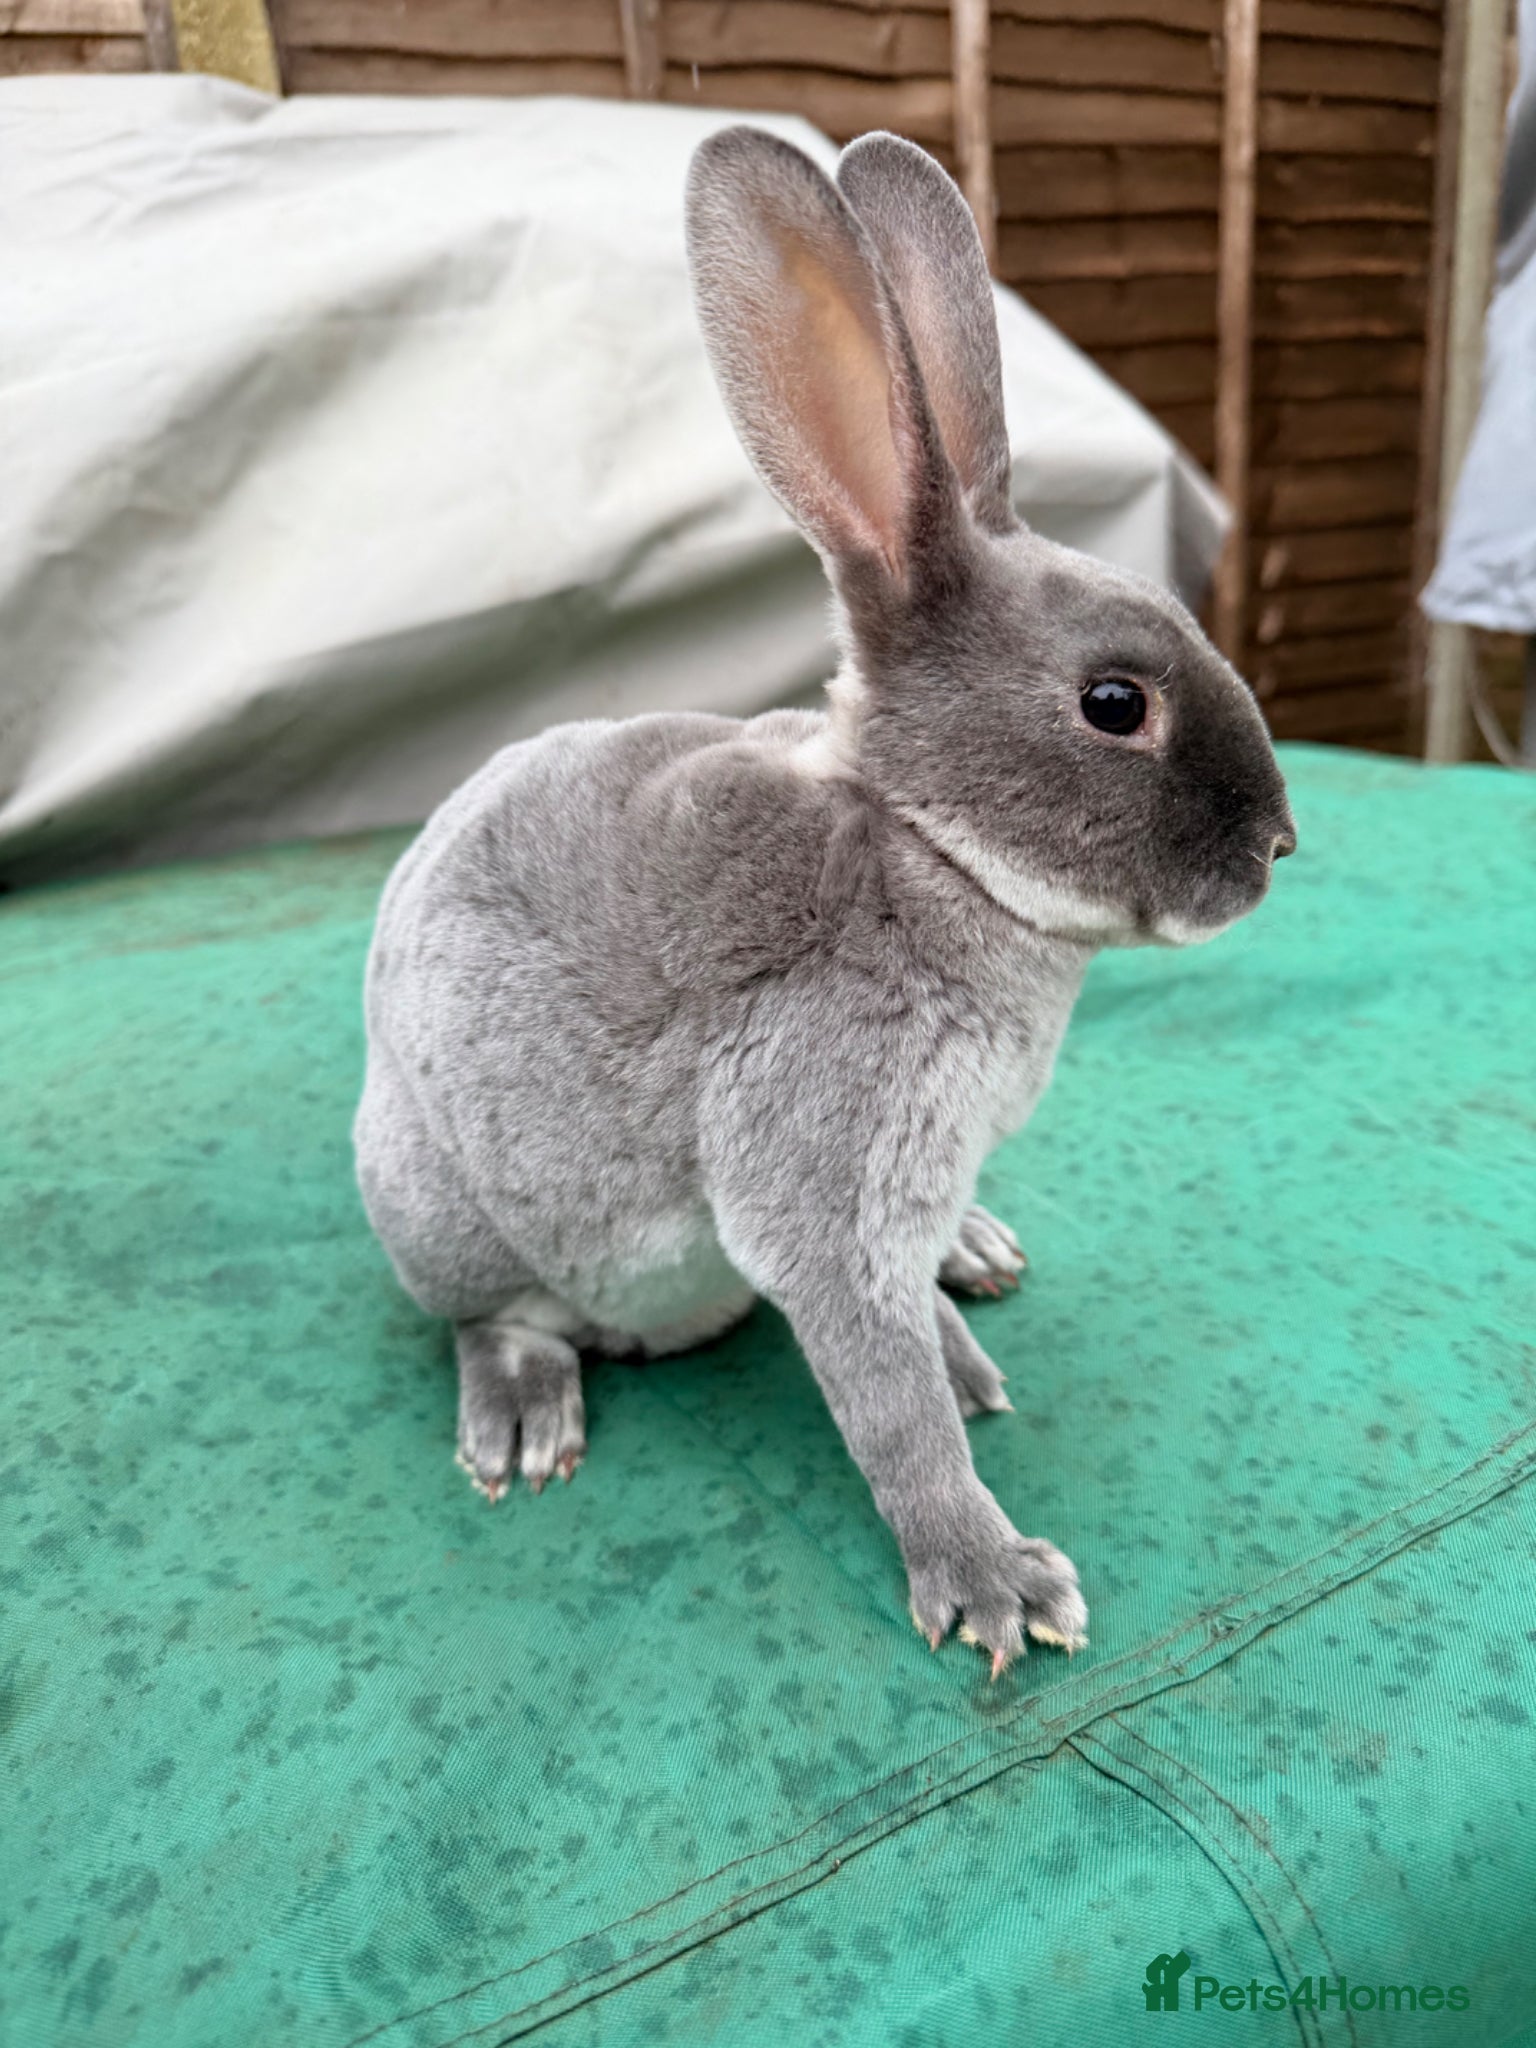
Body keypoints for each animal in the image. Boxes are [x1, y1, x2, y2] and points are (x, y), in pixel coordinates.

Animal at [354, 125, 1295, 1678]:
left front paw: (968, 1359)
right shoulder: (823, 1165)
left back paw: (979, 1256)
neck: (920, 848)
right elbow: (887, 1402)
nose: (1279, 843)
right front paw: (994, 1583)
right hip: (440, 1206)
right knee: (492, 1318)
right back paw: (526, 1419)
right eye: (1115, 704)